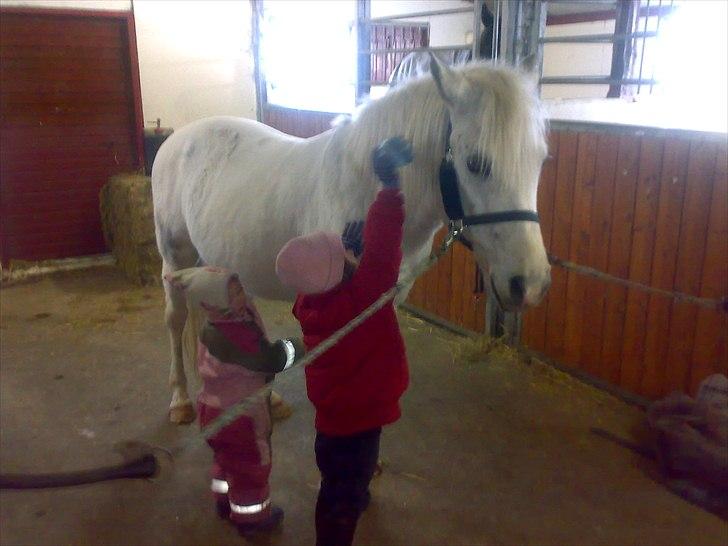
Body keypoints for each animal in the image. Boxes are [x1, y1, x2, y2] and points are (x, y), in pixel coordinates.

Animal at [155, 58, 552, 420]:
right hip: (174, 256)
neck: (367, 193)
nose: (530, 284)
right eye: (475, 163)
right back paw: (180, 400)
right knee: (175, 319)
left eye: (541, 160)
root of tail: (179, 136)